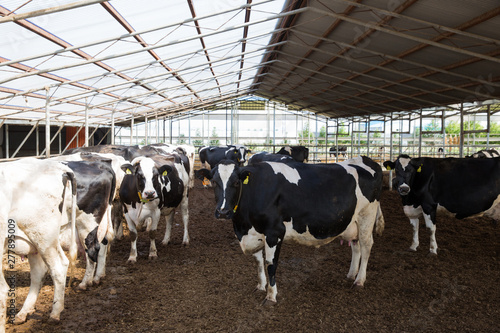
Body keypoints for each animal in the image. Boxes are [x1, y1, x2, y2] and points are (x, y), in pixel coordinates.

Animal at [195, 156, 382, 304]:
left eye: (235, 182)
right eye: (214, 182)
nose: (223, 212)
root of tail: (365, 159)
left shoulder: (274, 232)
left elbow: (270, 264)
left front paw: (271, 297)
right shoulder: (254, 233)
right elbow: (258, 262)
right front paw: (260, 286)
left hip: (366, 216)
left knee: (366, 246)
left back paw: (359, 281)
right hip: (353, 222)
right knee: (356, 246)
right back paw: (351, 274)